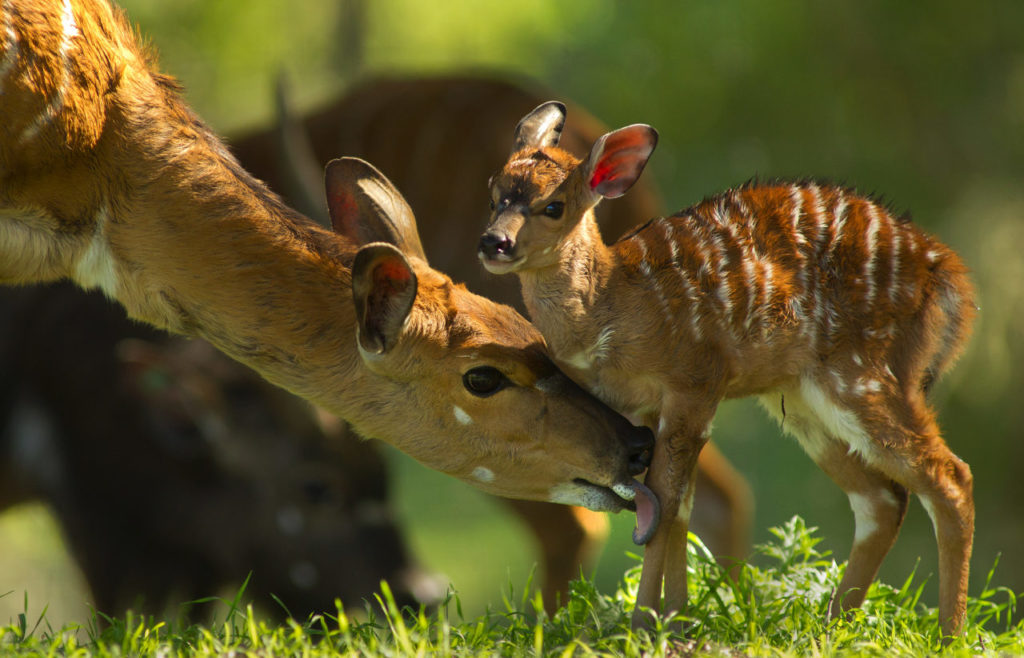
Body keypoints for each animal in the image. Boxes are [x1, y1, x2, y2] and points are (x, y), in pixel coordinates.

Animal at [479, 101, 976, 637]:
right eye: (494, 192)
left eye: (553, 206)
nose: (493, 242)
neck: (612, 307)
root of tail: (948, 277)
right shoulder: (652, 407)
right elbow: (679, 509)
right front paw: (676, 620)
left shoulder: (695, 379)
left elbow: (665, 504)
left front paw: (645, 626)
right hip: (803, 400)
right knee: (882, 499)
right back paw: (831, 624)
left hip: (867, 371)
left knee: (950, 477)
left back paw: (949, 633)